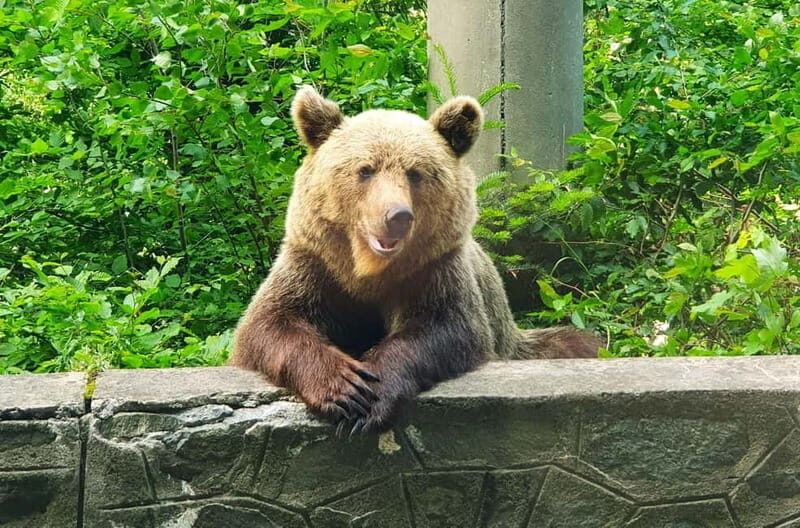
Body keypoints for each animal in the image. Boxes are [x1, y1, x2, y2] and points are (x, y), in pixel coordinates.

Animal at [231, 86, 601, 435]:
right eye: (365, 170)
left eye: (415, 173)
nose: (397, 216)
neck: (367, 273)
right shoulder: (315, 267)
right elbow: (270, 323)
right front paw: (345, 389)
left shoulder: (433, 271)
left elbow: (443, 329)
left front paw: (372, 394)